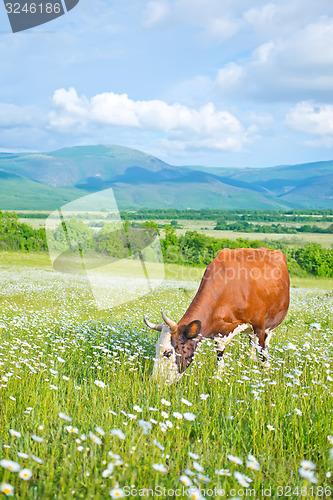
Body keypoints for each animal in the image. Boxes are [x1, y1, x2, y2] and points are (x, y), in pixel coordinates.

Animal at [144, 246, 290, 382]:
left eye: (168, 353)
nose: (154, 382)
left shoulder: (259, 325)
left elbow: (262, 354)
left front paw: (263, 376)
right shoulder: (220, 332)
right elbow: (220, 357)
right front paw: (218, 378)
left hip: (269, 326)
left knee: (264, 345)